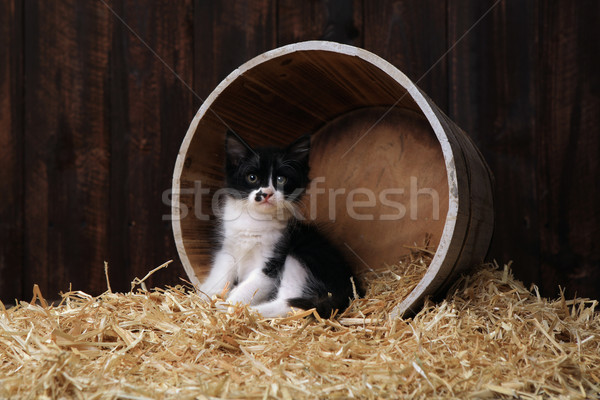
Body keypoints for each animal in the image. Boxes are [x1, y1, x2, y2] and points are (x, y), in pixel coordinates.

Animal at [199, 130, 364, 318]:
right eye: (252, 177)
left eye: (281, 179)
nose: (266, 193)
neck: (255, 219)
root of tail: (350, 287)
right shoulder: (228, 247)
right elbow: (221, 270)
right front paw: (206, 293)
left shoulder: (273, 261)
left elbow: (250, 286)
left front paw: (230, 305)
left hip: (301, 257)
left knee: (291, 305)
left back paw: (252, 311)